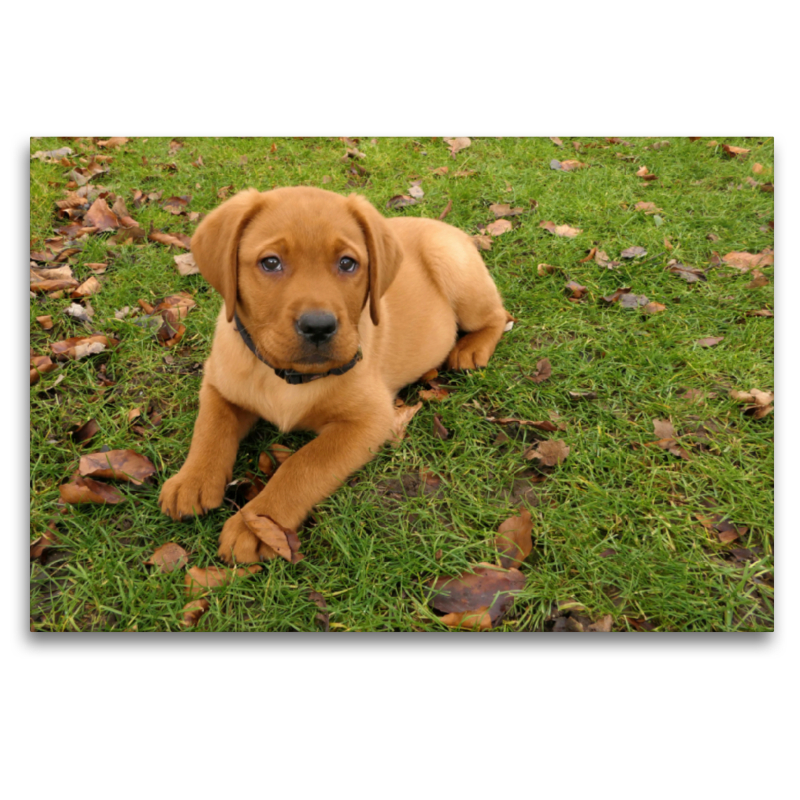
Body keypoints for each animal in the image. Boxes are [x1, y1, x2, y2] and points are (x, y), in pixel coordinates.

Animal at [159, 187, 510, 564]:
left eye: (347, 263)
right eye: (270, 263)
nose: (318, 326)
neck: (289, 376)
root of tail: (443, 225)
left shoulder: (369, 420)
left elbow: (303, 465)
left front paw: (257, 524)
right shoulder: (218, 383)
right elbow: (210, 428)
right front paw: (192, 481)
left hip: (454, 266)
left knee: (499, 314)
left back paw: (471, 350)